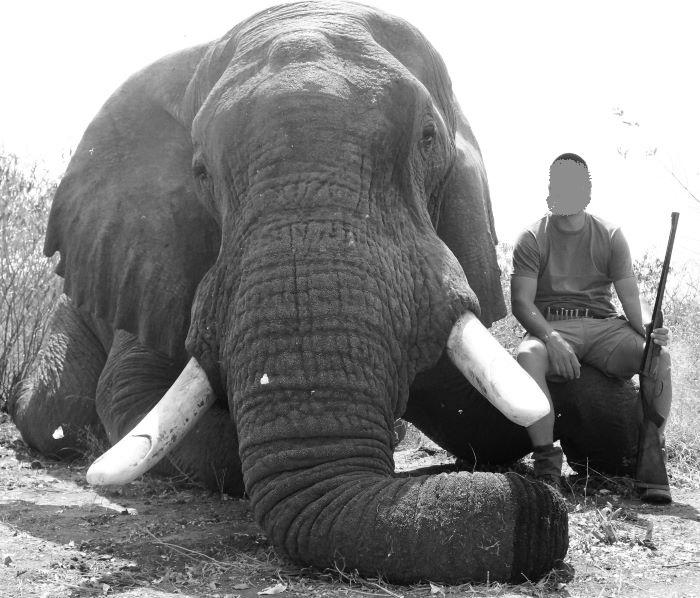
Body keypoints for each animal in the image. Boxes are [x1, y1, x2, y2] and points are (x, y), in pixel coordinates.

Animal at [10, 0, 641, 584]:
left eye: (428, 139)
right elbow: (131, 399)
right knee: (53, 410)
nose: (537, 513)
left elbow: (477, 412)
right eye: (200, 173)